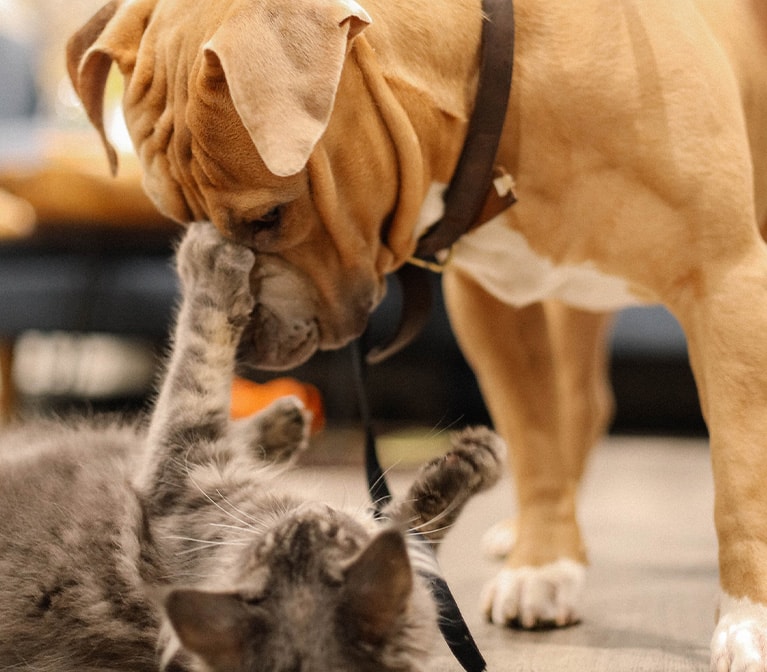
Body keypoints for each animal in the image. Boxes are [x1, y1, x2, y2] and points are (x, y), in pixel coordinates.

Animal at [0, 223, 504, 672]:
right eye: (265, 551)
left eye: (332, 536)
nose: (312, 514)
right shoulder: (183, 473)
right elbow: (199, 359)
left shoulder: (185, 469)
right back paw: (283, 422)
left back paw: (282, 425)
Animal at [66, 0, 767, 668]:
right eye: (178, 215)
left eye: (270, 216)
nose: (244, 332)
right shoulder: (495, 307)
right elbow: (536, 435)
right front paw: (543, 564)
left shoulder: (727, 280)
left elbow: (739, 477)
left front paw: (748, 619)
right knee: (582, 405)